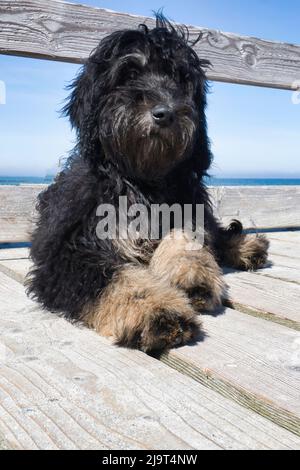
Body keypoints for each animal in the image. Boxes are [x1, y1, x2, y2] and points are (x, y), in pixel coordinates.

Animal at [27, 14, 268, 352]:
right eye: (129, 73)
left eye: (181, 79)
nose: (164, 113)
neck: (142, 179)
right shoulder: (64, 252)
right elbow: (111, 275)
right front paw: (157, 309)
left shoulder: (187, 202)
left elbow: (187, 234)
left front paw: (192, 276)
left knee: (219, 234)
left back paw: (246, 246)